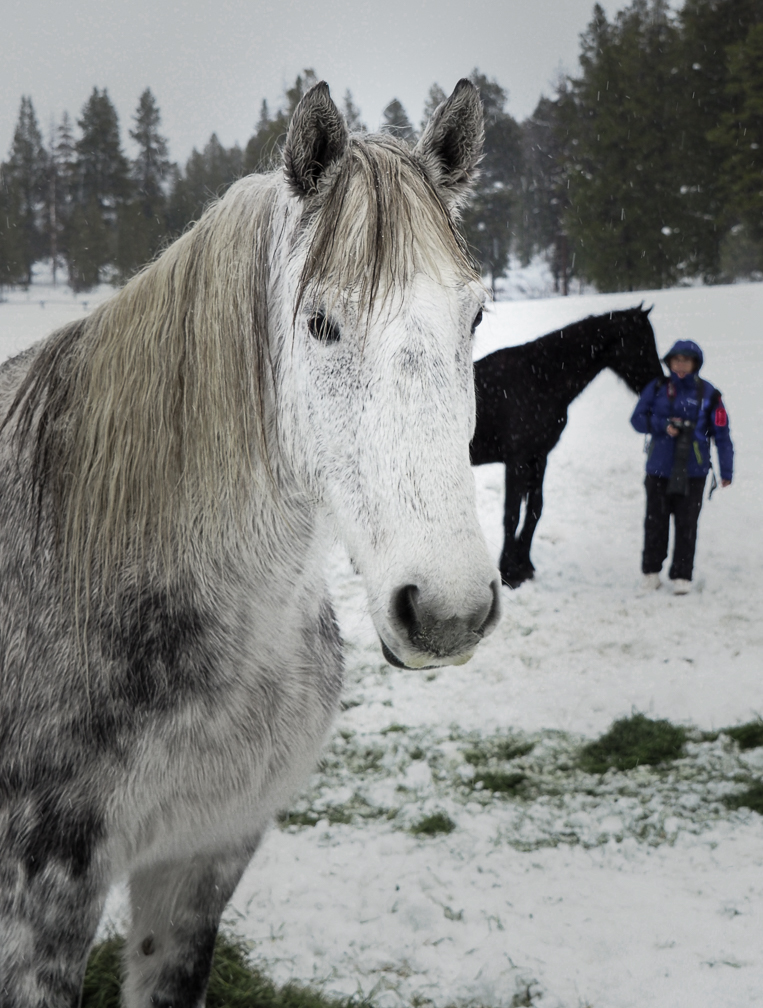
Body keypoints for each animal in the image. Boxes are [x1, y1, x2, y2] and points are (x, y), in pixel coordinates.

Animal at [469, 306, 661, 588]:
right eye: (642, 342)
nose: (662, 383)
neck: (538, 378)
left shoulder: (539, 457)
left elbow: (535, 509)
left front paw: (524, 566)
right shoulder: (517, 460)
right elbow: (512, 514)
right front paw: (508, 572)